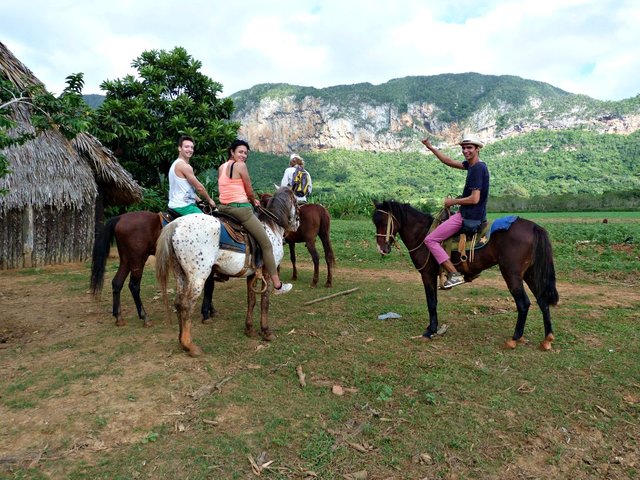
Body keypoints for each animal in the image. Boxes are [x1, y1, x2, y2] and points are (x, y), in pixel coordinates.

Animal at [156, 188, 298, 356]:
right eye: (297, 202)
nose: (297, 224)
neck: (272, 227)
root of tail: (176, 224)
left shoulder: (251, 275)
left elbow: (251, 301)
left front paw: (249, 329)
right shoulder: (268, 272)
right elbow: (265, 302)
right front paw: (266, 331)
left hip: (181, 274)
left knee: (178, 302)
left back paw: (180, 341)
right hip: (198, 276)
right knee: (186, 304)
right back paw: (189, 345)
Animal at [372, 201, 556, 350]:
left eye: (383, 222)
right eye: (374, 222)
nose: (382, 249)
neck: (423, 235)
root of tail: (533, 227)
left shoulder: (427, 274)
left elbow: (431, 302)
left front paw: (430, 331)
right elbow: (434, 301)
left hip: (512, 274)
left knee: (524, 304)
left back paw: (514, 339)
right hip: (530, 273)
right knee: (542, 301)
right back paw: (547, 339)